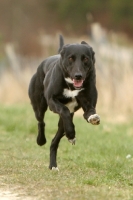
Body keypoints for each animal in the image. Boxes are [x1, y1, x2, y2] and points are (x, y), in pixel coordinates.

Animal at [28, 35, 100, 170]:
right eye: (71, 58)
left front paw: (93, 118)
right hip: (39, 106)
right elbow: (64, 109)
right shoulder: (52, 101)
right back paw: (41, 140)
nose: (78, 76)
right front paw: (71, 134)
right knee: (41, 122)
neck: (71, 86)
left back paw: (53, 165)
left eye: (86, 58)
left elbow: (90, 113)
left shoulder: (88, 105)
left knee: (54, 141)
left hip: (61, 125)